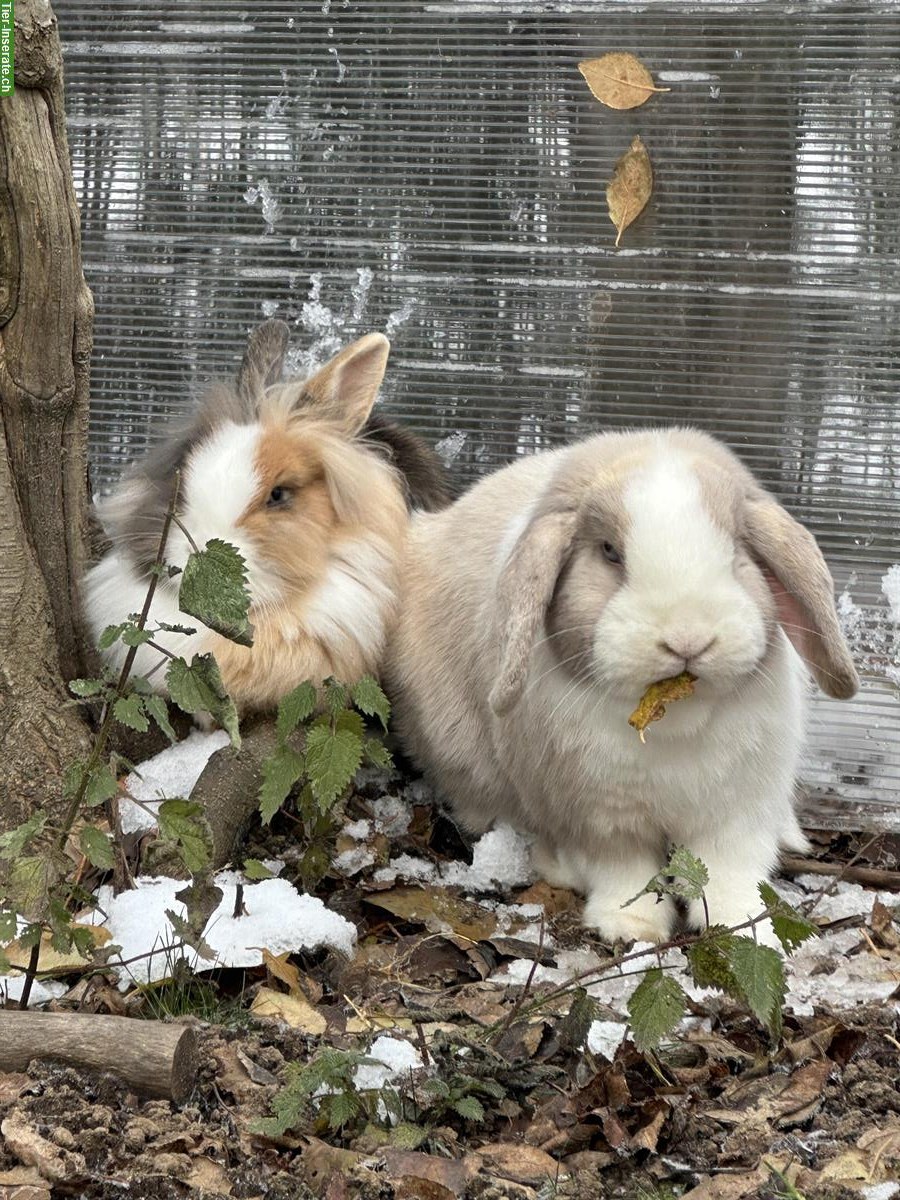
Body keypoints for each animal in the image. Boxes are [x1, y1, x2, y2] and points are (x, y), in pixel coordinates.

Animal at [385, 428, 858, 946]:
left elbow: (730, 875)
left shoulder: (735, 812)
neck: (673, 724)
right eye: (610, 551)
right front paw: (630, 927)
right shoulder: (600, 819)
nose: (687, 639)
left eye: (737, 550)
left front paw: (749, 930)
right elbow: (625, 873)